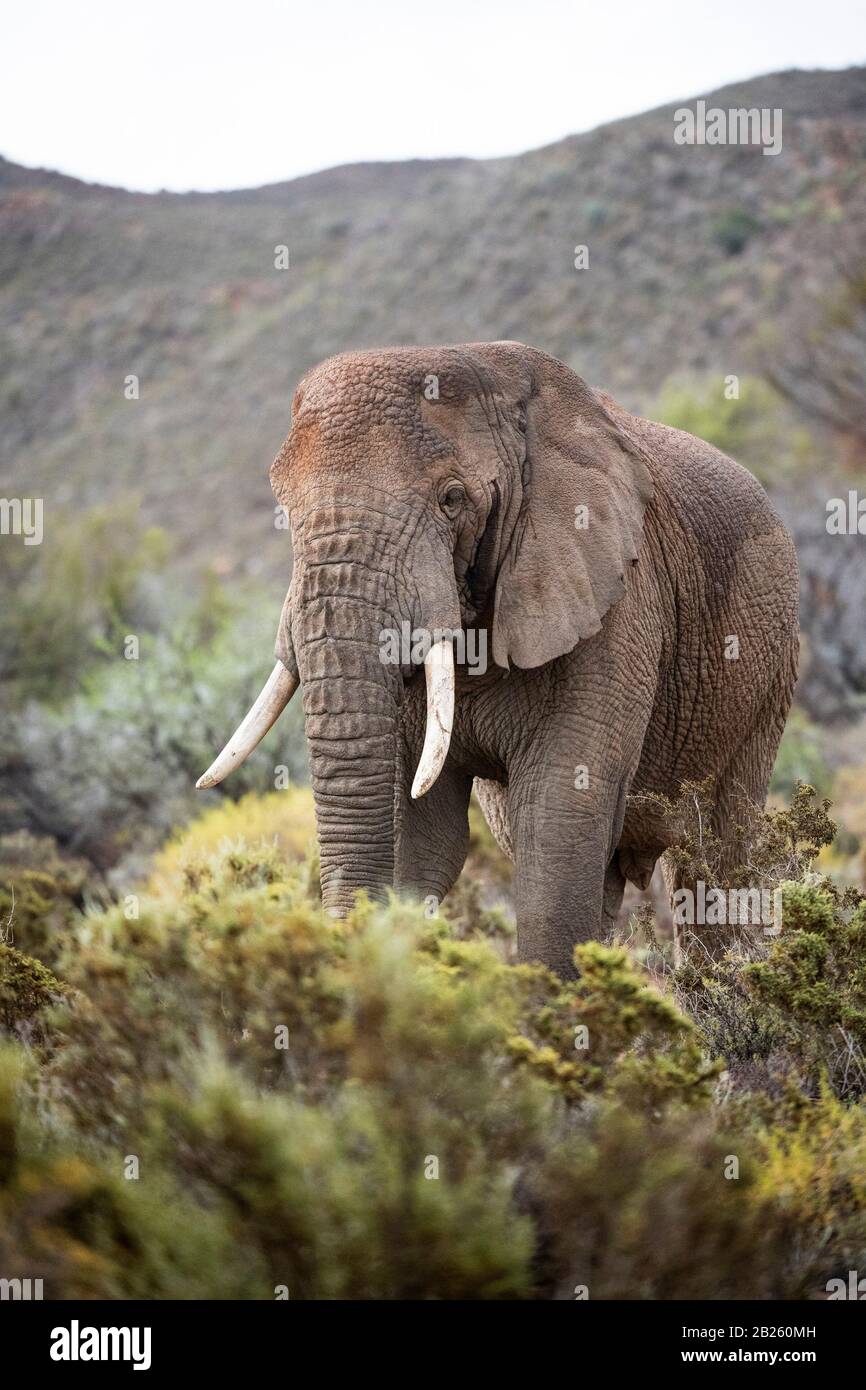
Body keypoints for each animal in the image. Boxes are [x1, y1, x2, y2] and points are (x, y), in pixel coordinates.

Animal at [197, 342, 799, 977]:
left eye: (452, 498)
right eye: (283, 508)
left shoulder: (615, 599)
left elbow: (557, 823)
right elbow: (423, 836)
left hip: (771, 669)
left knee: (716, 863)